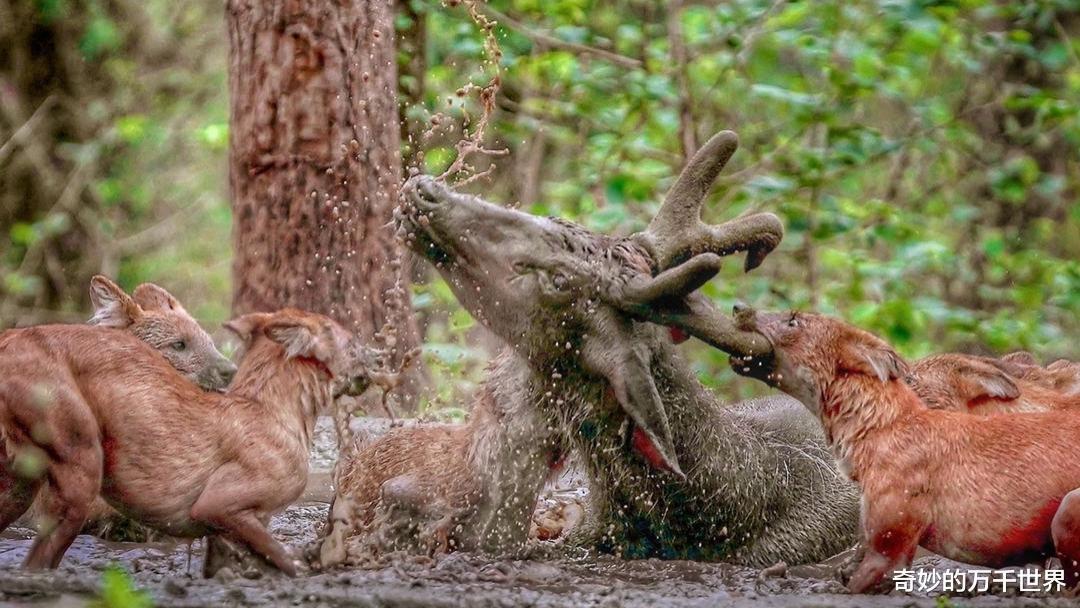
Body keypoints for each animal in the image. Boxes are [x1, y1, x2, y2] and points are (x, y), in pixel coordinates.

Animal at [0, 308, 388, 574]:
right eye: (352, 343)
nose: (380, 355)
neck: (275, 409)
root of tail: (10, 339)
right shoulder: (218, 504)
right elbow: (285, 560)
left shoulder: (224, 534)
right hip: (79, 466)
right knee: (37, 563)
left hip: (16, 487)